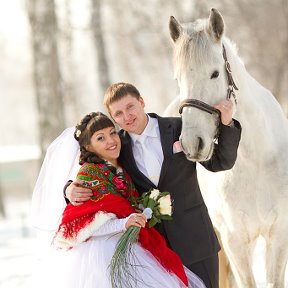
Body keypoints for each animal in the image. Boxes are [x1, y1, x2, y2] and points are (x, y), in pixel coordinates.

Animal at [165, 8, 288, 288]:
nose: (192, 143)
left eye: (215, 73)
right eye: (177, 79)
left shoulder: (278, 235)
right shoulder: (234, 241)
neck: (256, 161)